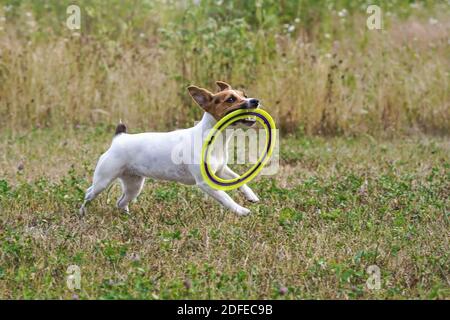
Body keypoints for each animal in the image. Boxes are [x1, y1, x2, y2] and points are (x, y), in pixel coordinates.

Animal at [79, 82, 258, 218]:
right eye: (230, 99)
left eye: (244, 94)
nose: (255, 100)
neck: (215, 139)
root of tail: (119, 138)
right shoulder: (204, 183)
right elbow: (225, 197)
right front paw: (241, 210)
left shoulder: (221, 170)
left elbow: (239, 180)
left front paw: (251, 196)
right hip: (103, 180)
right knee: (89, 193)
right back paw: (82, 213)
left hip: (134, 185)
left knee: (121, 202)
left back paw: (127, 217)